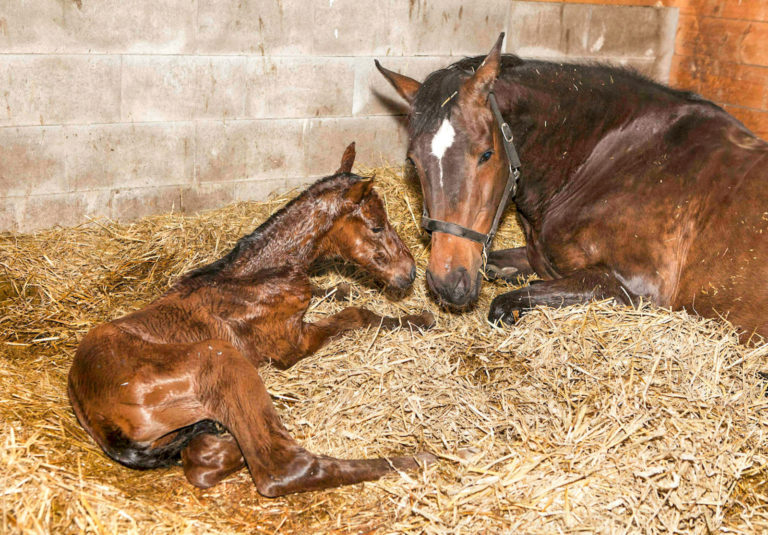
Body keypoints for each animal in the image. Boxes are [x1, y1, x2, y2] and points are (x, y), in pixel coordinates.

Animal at [69, 144, 436, 500]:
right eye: (376, 226)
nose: (409, 273)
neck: (259, 276)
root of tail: (94, 412)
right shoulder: (292, 344)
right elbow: (358, 315)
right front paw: (419, 318)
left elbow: (331, 294)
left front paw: (343, 289)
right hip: (220, 357)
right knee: (280, 468)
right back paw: (416, 459)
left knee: (203, 456)